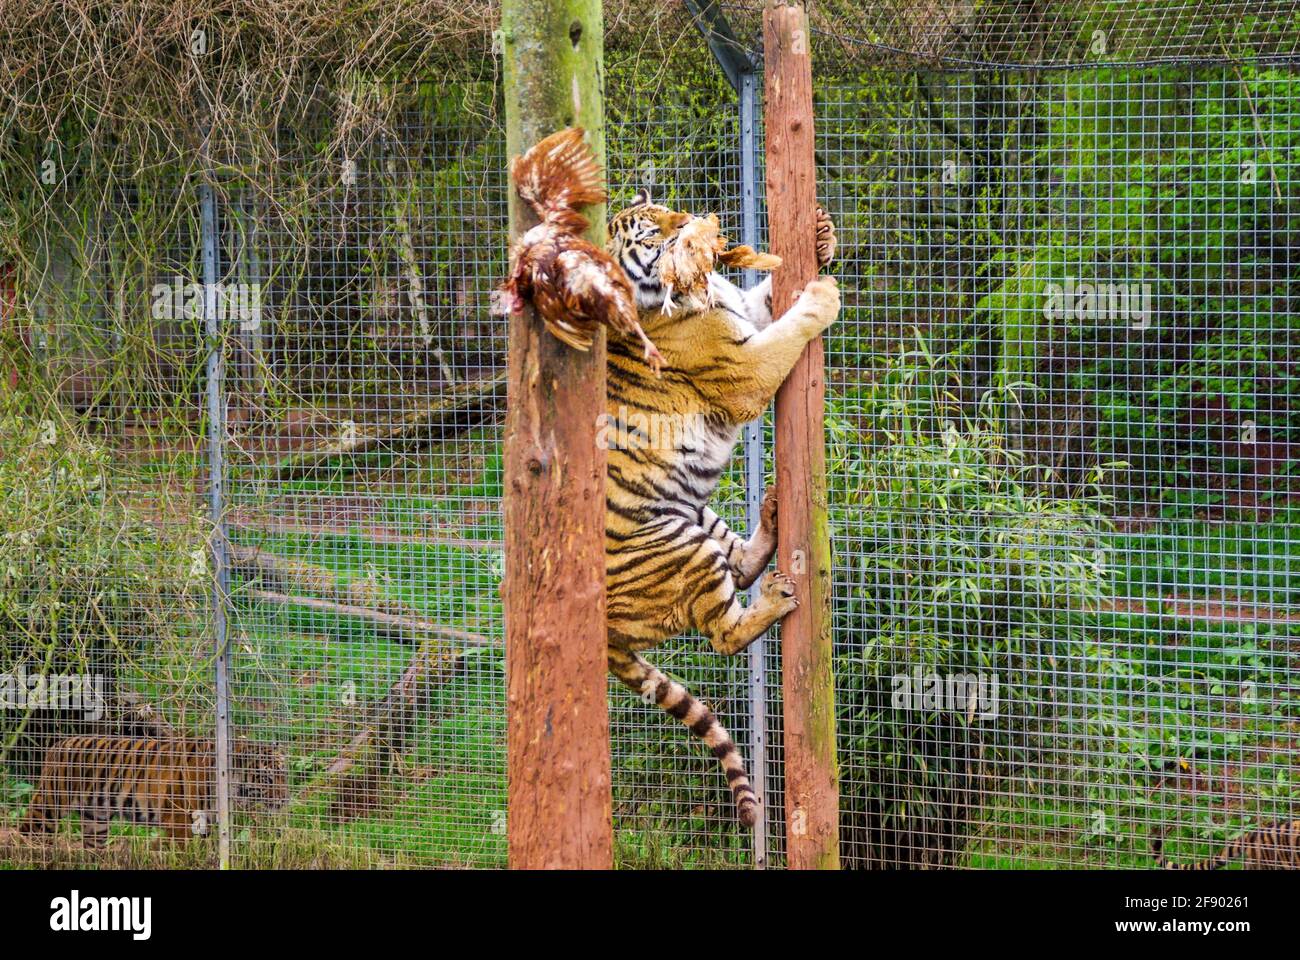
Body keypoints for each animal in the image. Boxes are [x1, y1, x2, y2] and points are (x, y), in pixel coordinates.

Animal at [19, 733, 287, 842]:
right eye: (268, 779)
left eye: (285, 775)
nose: (286, 800)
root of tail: (58, 744)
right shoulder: (178, 821)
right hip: (48, 806)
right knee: (28, 831)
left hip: (96, 819)